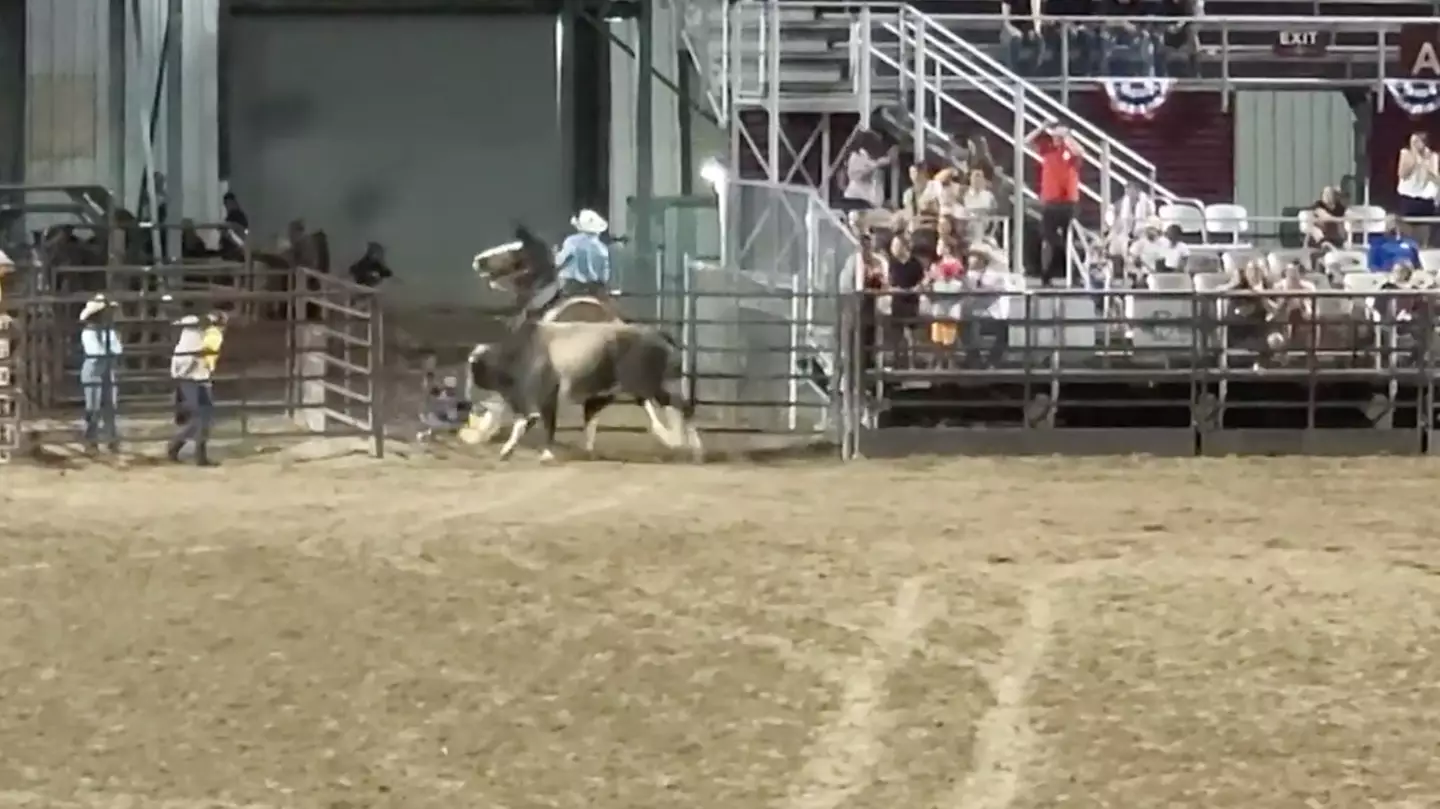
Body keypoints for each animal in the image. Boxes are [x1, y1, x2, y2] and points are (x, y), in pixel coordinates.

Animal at [460, 319, 702, 460]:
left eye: (473, 372)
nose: (467, 399)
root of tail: (655, 333)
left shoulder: (545, 398)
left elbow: (541, 423)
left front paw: (545, 453)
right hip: (631, 390)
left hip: (647, 385)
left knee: (683, 407)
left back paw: (693, 447)